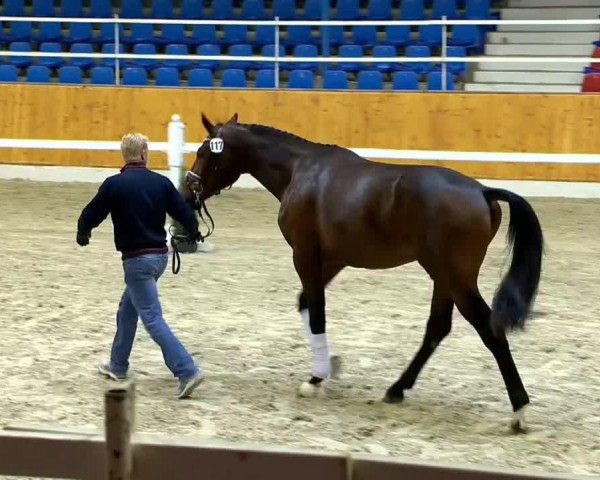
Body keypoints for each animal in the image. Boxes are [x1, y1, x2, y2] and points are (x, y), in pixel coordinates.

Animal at [186, 111, 544, 432]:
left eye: (204, 152)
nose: (189, 191)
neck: (301, 171)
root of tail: (482, 191)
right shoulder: (331, 260)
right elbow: (307, 306)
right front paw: (329, 364)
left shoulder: (305, 256)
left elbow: (317, 312)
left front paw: (315, 379)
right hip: (443, 277)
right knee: (437, 328)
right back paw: (397, 389)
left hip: (456, 278)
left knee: (489, 330)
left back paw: (520, 411)